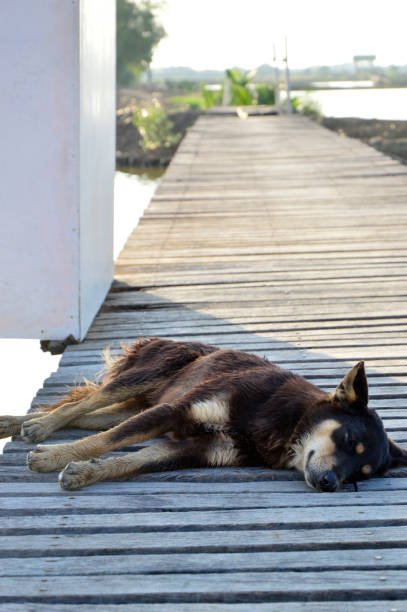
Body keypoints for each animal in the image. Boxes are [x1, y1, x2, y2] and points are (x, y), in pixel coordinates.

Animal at [1, 338, 406, 490]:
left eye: (361, 475)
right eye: (347, 438)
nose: (329, 483)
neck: (287, 423)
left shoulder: (195, 449)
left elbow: (130, 462)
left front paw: (84, 473)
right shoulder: (175, 411)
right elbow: (105, 443)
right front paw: (55, 458)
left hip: (141, 402)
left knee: (90, 416)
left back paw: (22, 423)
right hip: (147, 374)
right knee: (84, 405)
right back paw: (39, 428)